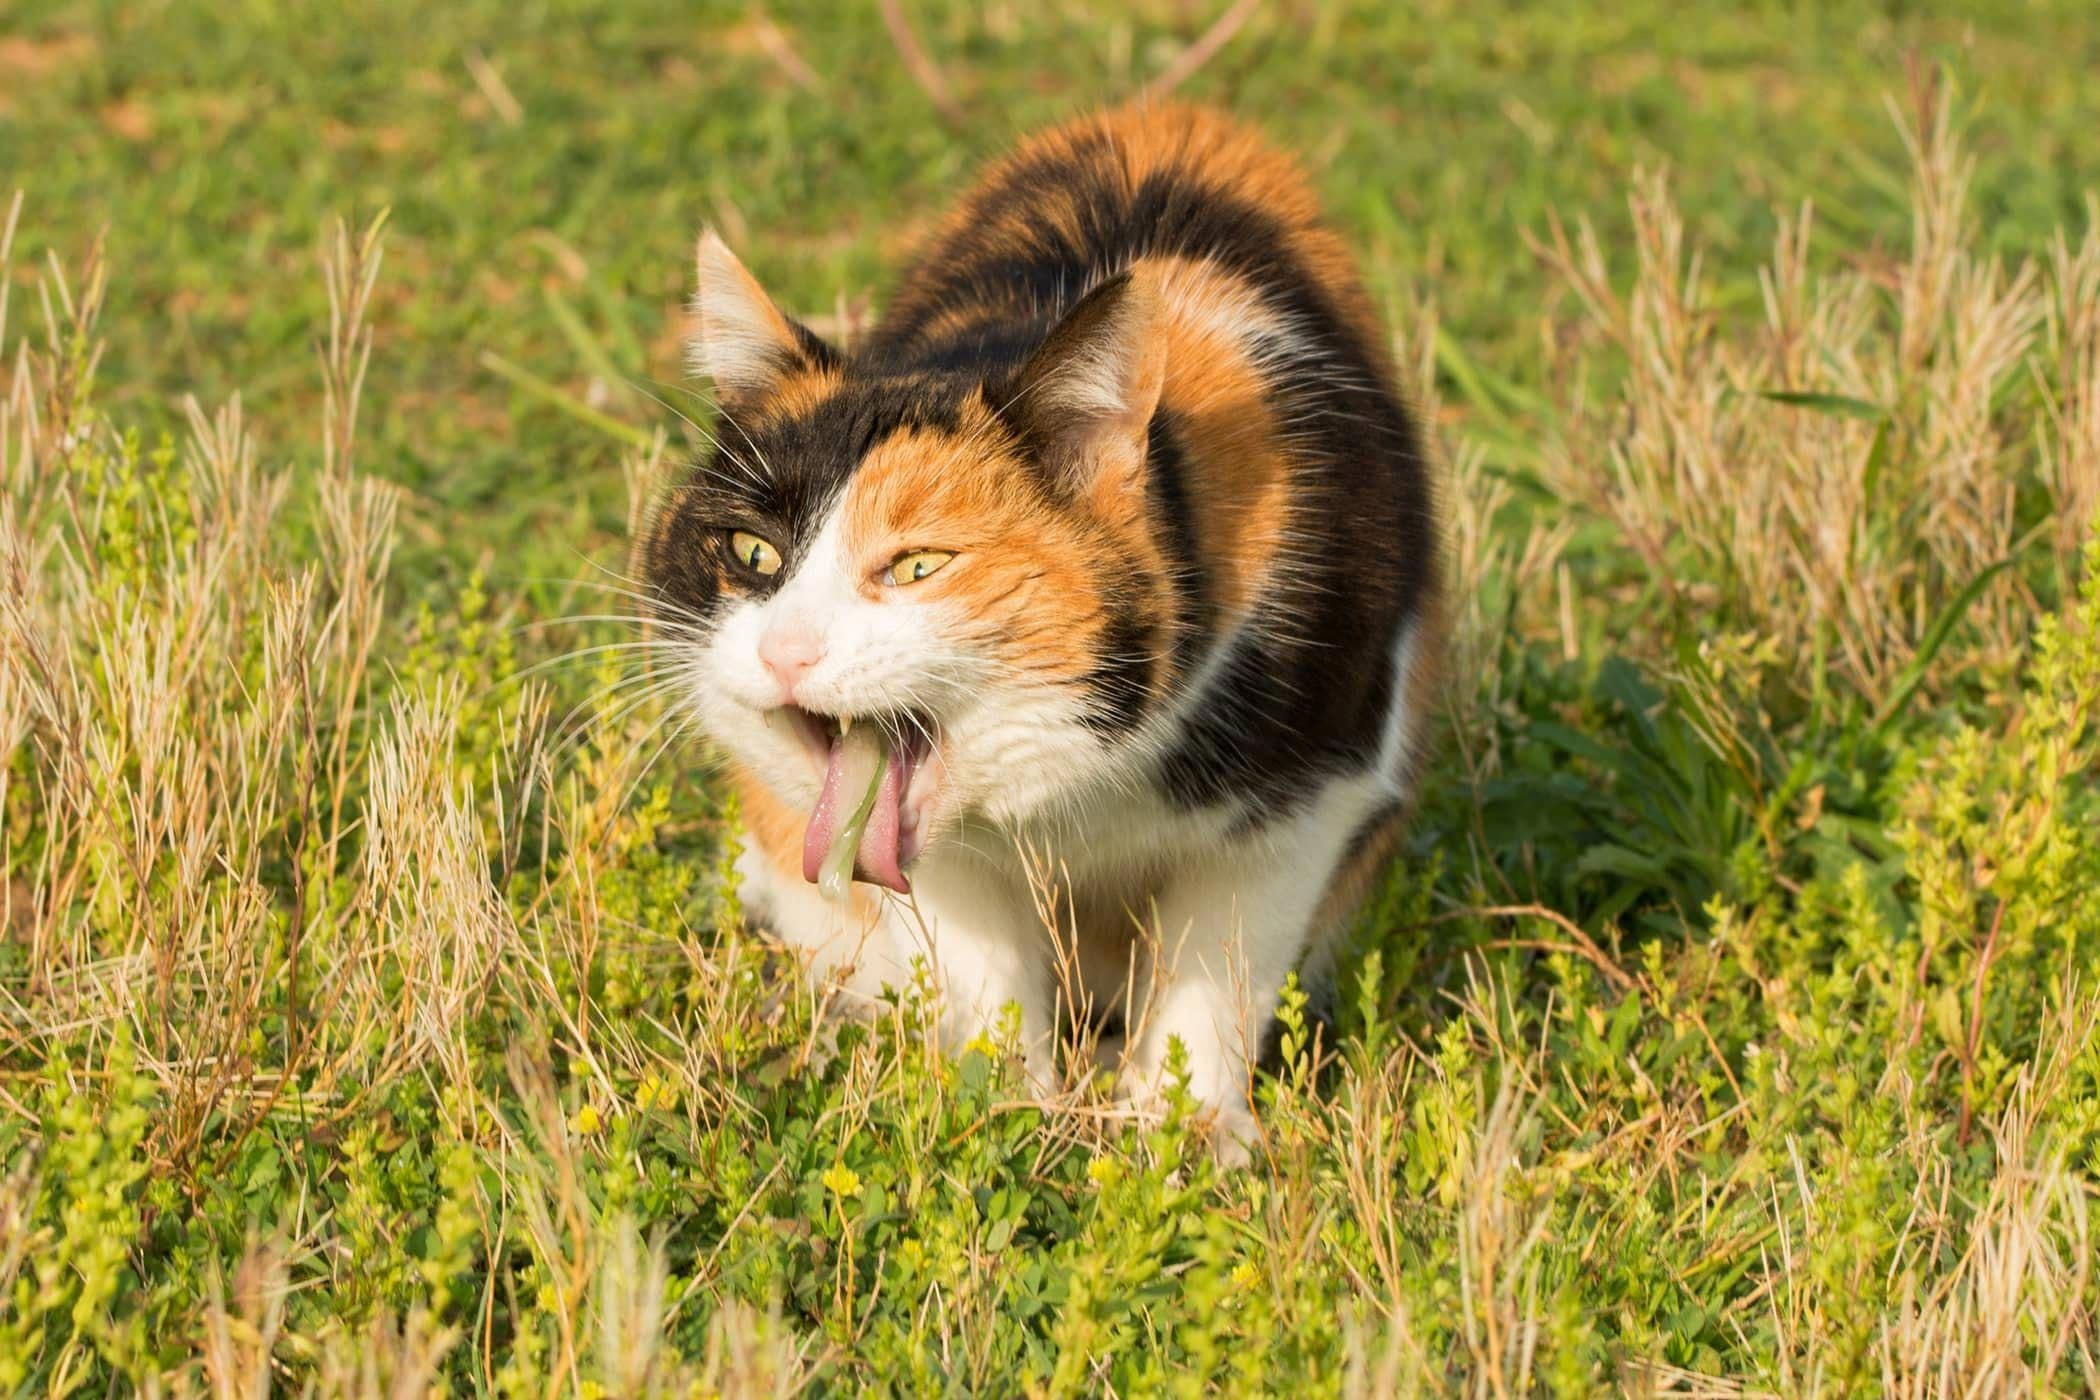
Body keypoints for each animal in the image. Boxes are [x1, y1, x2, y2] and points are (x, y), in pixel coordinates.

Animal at [642, 103, 1444, 1158]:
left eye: (918, 565)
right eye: (752, 553)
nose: (786, 650)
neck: (1086, 783)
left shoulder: (1309, 793)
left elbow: (1220, 967)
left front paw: (1188, 1141)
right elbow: (988, 977)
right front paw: (1002, 1115)